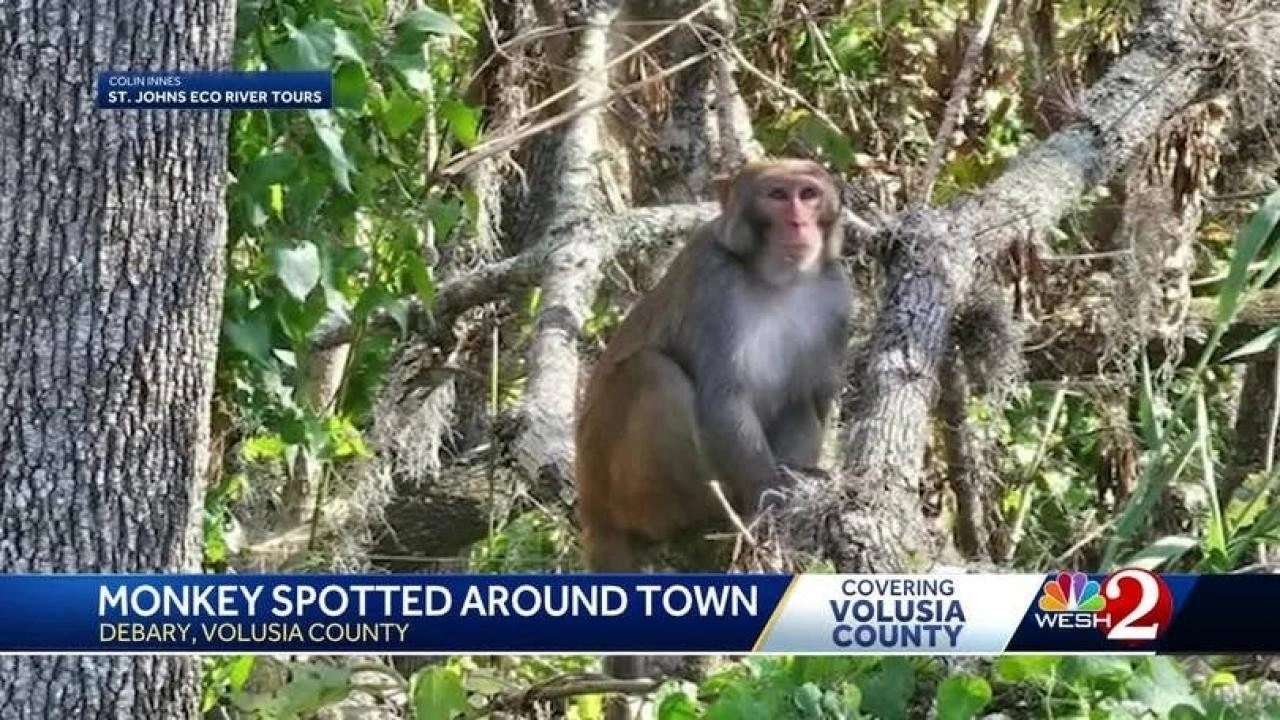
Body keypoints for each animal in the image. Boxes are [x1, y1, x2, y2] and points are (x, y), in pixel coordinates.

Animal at [576, 158, 855, 707]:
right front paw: (769, 496)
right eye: (776, 196)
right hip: (620, 481)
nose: (798, 223)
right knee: (653, 372)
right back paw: (707, 514)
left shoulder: (835, 294)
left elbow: (813, 399)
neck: (776, 280)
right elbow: (722, 397)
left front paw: (798, 479)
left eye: (808, 194)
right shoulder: (713, 280)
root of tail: (592, 505)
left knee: (794, 400)